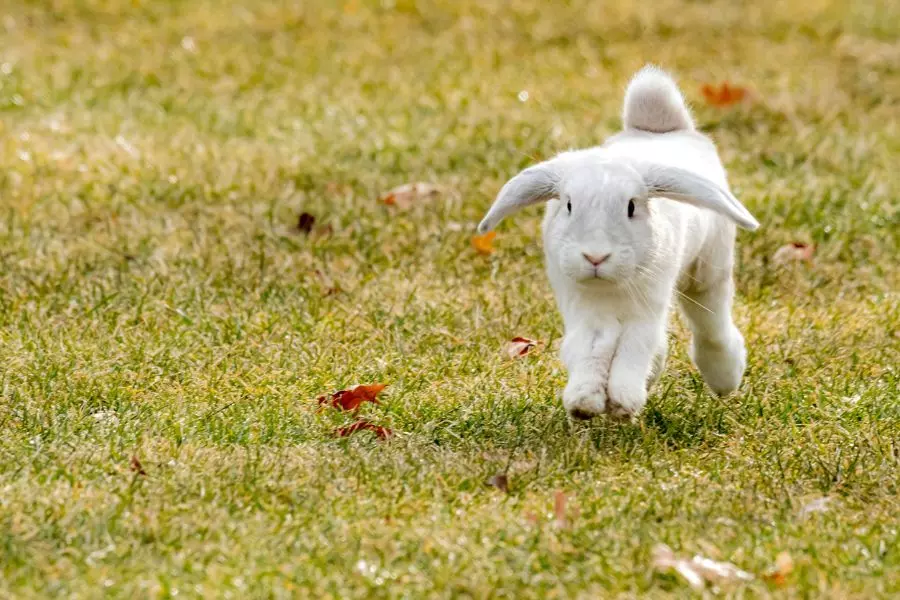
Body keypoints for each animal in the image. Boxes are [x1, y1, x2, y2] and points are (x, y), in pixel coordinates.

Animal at [478, 65, 759, 420]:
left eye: (631, 207)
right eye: (568, 205)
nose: (595, 257)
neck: (609, 289)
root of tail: (659, 129)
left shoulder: (645, 311)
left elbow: (634, 349)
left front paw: (623, 401)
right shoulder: (586, 314)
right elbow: (590, 351)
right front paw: (584, 402)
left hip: (709, 269)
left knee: (710, 322)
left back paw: (724, 377)